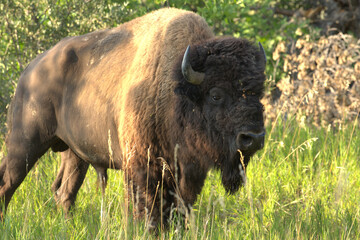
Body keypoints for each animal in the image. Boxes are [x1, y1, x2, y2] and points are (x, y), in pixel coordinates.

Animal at [0, 7, 266, 229]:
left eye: (259, 92)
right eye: (215, 94)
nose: (253, 138)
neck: (176, 86)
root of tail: (30, 71)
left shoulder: (188, 173)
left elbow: (179, 208)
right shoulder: (142, 166)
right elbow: (146, 208)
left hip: (75, 154)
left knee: (64, 192)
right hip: (23, 144)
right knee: (7, 183)